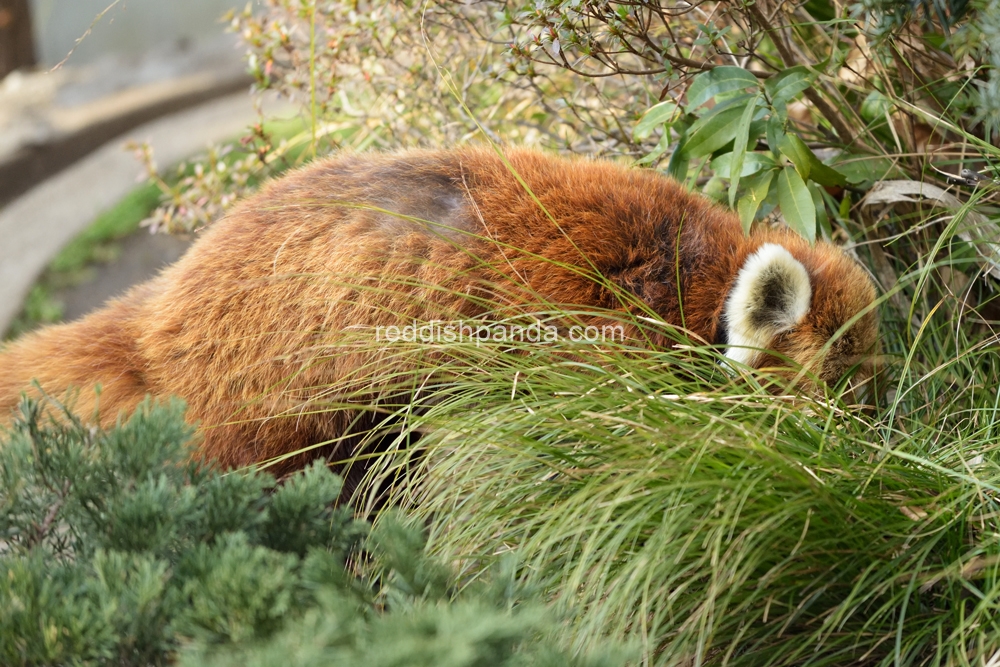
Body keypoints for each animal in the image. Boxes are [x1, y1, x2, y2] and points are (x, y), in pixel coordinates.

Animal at [0, 147, 876, 470]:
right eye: (836, 401)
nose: (869, 448)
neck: (690, 270)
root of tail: (160, 314)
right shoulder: (575, 322)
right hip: (265, 398)